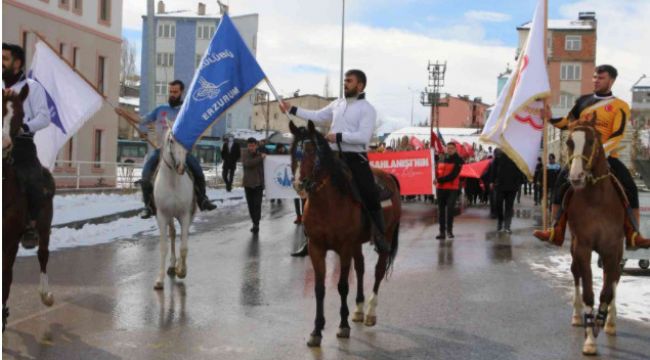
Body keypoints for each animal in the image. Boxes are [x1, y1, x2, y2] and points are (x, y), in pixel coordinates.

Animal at [153, 129, 195, 290]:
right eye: (171, 140)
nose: (181, 167)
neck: (172, 182)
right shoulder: (162, 215)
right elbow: (163, 247)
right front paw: (159, 280)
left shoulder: (185, 215)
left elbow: (183, 246)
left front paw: (182, 270)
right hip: (170, 216)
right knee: (172, 233)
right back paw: (171, 266)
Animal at [288, 121, 400, 348]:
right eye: (293, 151)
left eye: (312, 151)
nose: (299, 184)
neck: (327, 203)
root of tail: (389, 177)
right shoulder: (316, 248)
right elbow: (319, 288)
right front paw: (316, 331)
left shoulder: (345, 247)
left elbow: (342, 286)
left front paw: (343, 325)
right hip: (357, 244)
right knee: (361, 268)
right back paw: (358, 310)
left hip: (386, 236)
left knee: (378, 271)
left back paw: (370, 312)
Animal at [560, 116, 624, 356]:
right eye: (569, 142)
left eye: (589, 141)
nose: (576, 177)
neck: (597, 200)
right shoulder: (583, 247)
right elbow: (588, 290)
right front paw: (589, 339)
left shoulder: (613, 248)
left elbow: (607, 289)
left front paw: (602, 319)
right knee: (576, 273)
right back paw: (578, 316)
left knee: (614, 277)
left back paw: (610, 322)